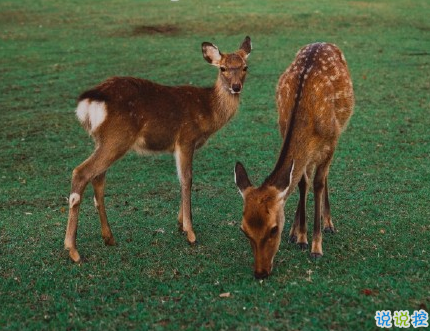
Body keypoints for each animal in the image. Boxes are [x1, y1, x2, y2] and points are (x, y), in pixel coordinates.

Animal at [63, 36, 252, 264]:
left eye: (244, 67)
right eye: (223, 68)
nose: (236, 86)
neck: (208, 111)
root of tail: (89, 101)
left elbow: (184, 178)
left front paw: (180, 224)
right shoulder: (186, 138)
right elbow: (187, 179)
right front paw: (190, 233)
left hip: (102, 140)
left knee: (98, 178)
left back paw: (109, 237)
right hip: (117, 138)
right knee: (81, 172)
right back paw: (73, 250)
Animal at [235, 42, 352, 280]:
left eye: (273, 229)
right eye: (243, 230)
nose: (260, 272)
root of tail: (323, 42)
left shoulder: (331, 141)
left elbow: (318, 184)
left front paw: (316, 247)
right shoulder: (286, 132)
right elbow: (301, 183)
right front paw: (300, 237)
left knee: (324, 176)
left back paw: (328, 224)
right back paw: (295, 231)